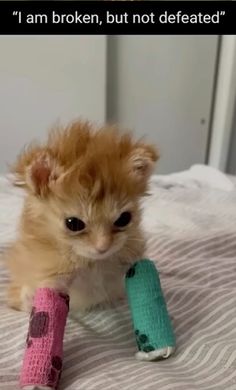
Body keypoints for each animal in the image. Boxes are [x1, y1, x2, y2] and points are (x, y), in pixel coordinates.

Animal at [5, 120, 159, 312]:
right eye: (73, 223)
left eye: (124, 219)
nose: (103, 247)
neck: (91, 264)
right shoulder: (52, 277)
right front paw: (30, 297)